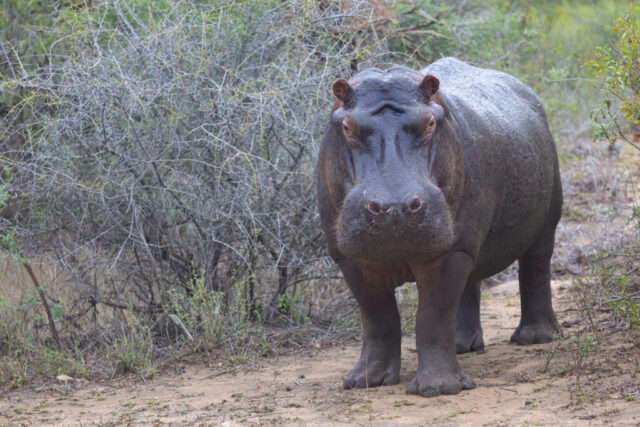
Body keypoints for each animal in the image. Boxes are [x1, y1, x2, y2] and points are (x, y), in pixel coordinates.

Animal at [316, 58, 562, 397]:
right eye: (346, 127)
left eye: (431, 123)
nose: (395, 207)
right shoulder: (349, 257)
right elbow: (377, 317)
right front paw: (364, 381)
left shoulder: (451, 251)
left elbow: (434, 314)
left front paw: (439, 389)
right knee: (470, 284)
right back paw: (463, 346)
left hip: (545, 219)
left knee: (536, 266)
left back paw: (535, 338)